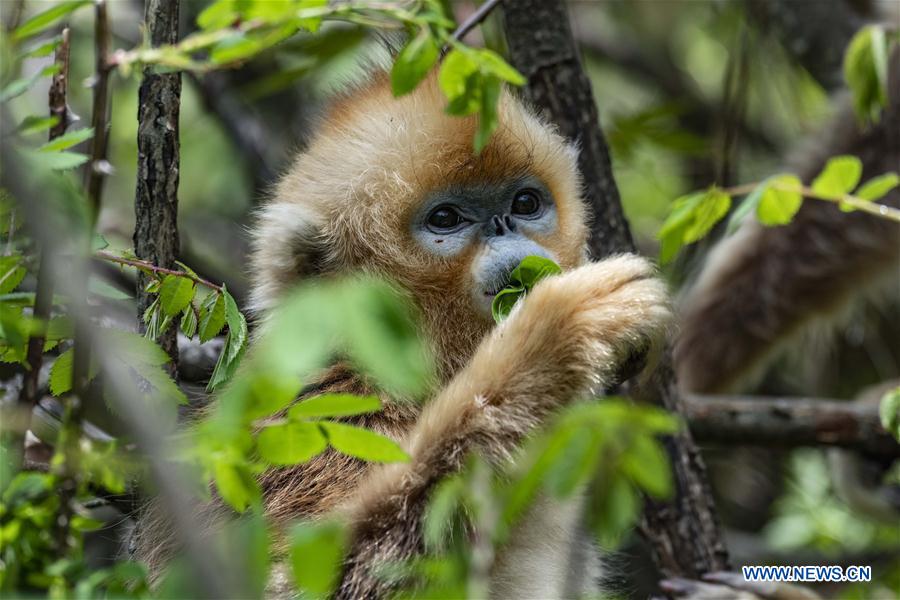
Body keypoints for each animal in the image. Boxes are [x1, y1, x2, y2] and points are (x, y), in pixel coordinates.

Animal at [134, 72, 668, 596]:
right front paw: (554, 334)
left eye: (525, 203)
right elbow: (291, 581)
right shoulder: (316, 417)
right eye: (446, 218)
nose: (504, 225)